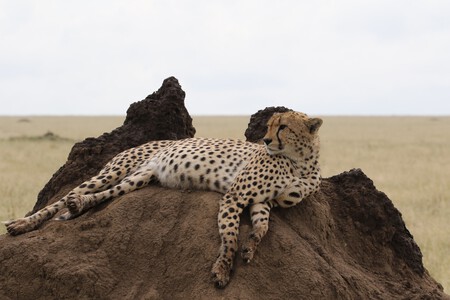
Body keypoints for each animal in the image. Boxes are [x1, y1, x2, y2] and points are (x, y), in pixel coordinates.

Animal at [1, 110, 322, 288]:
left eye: (282, 127)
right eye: (269, 126)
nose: (265, 140)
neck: (300, 162)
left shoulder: (262, 202)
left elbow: (262, 226)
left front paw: (250, 247)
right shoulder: (235, 194)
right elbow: (229, 235)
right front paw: (222, 269)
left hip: (140, 178)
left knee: (98, 196)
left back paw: (77, 207)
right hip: (115, 169)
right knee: (68, 195)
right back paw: (21, 224)